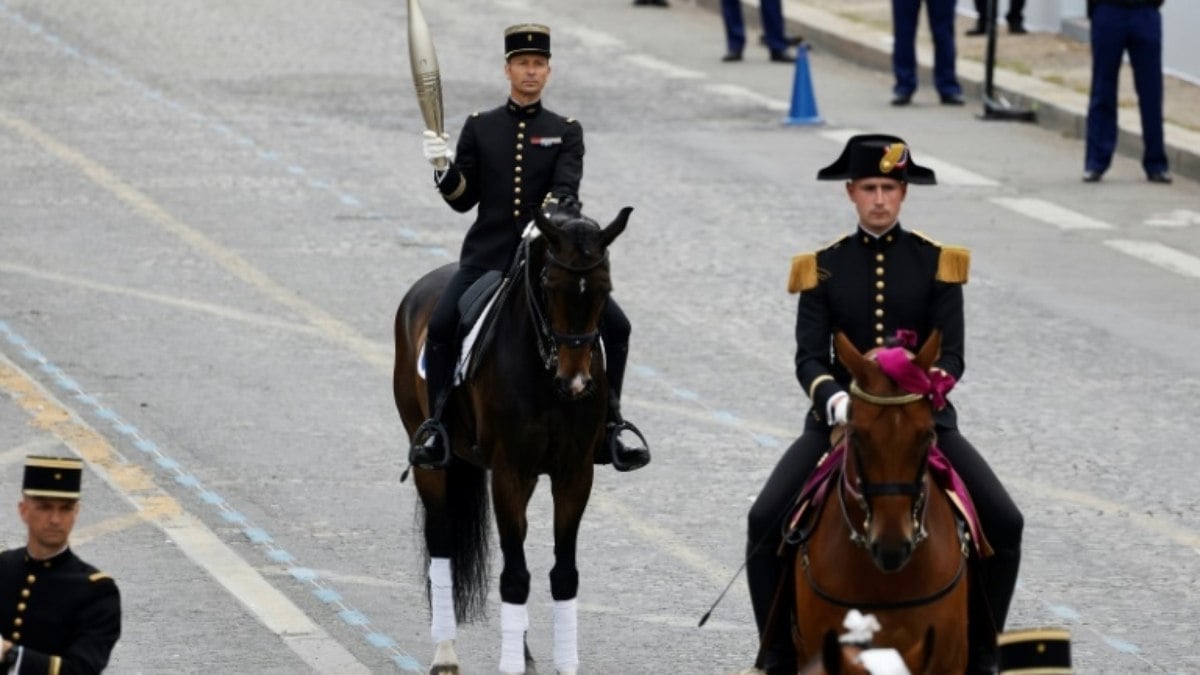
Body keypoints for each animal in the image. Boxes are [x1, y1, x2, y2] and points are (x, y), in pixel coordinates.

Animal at [396, 200, 638, 672]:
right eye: (550, 283)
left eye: (605, 288)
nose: (576, 382)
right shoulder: (509, 472)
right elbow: (513, 576)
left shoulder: (574, 474)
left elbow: (562, 575)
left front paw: (564, 663)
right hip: (433, 462)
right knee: (442, 541)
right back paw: (446, 652)